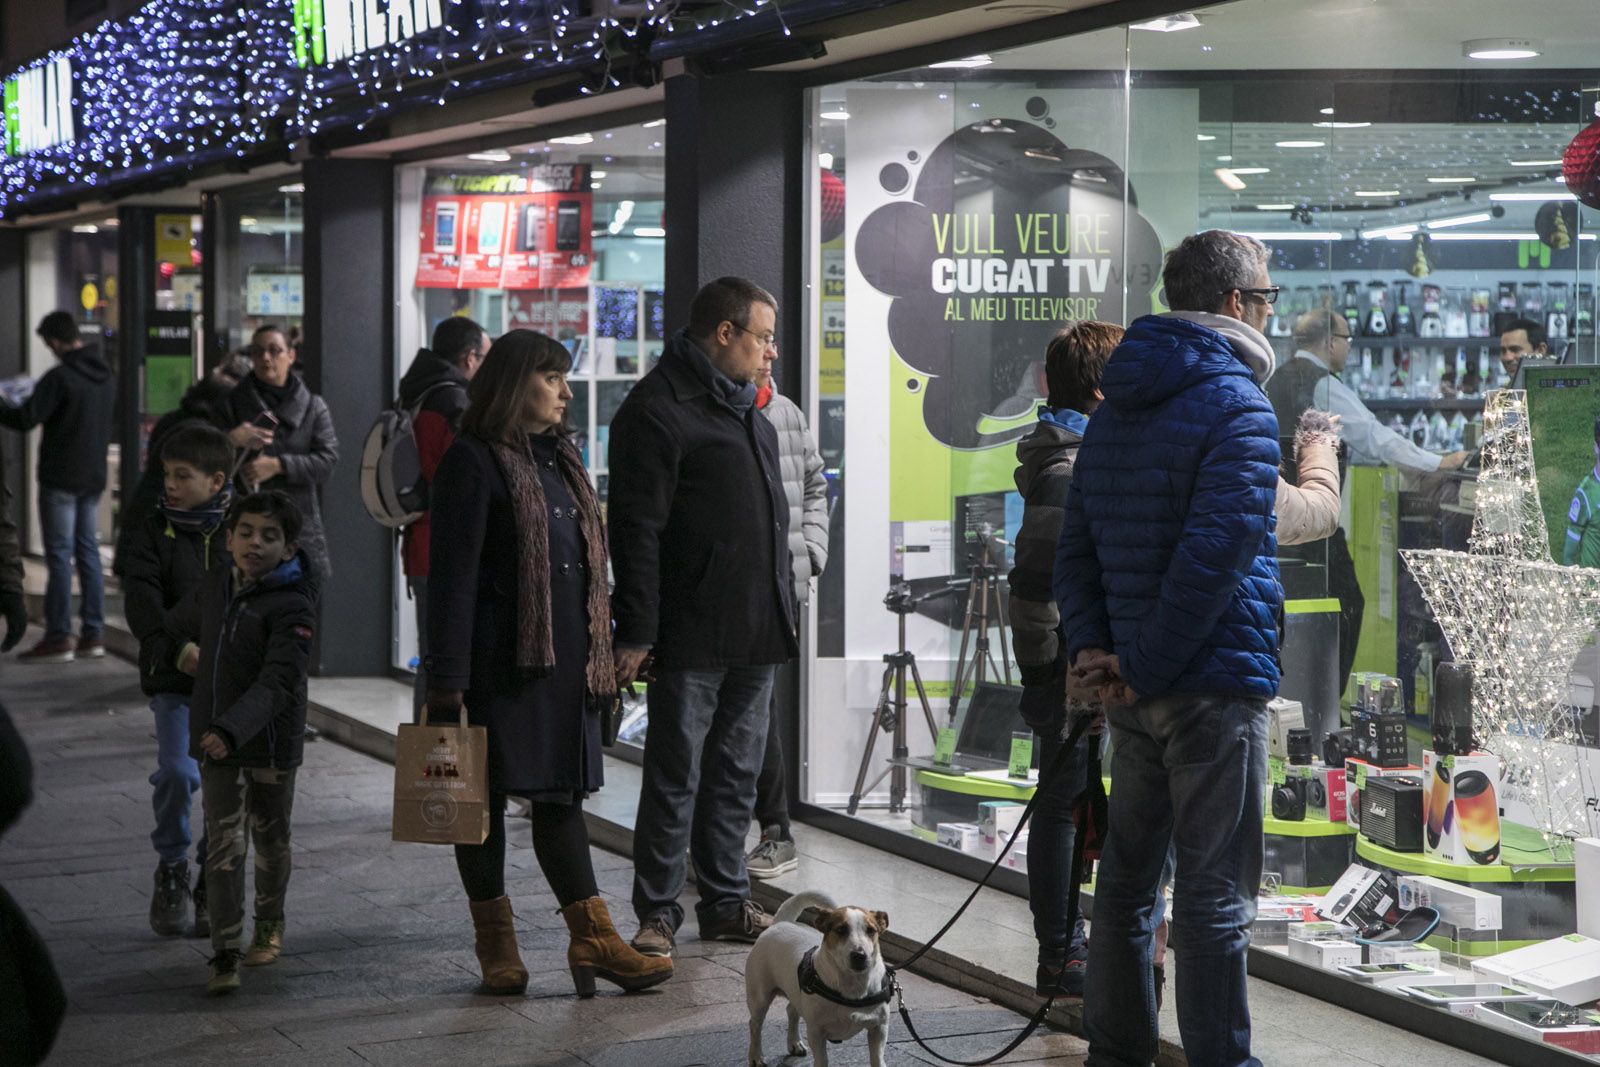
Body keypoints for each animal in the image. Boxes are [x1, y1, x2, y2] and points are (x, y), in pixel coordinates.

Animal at [742, 895, 896, 1067]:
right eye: (841, 929)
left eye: (871, 930)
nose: (859, 955)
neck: (852, 985)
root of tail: (780, 923)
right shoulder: (816, 1032)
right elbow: (822, 1059)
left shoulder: (879, 1028)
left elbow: (877, 1058)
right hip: (759, 996)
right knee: (755, 1024)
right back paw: (756, 1056)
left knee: (792, 1010)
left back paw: (794, 1043)